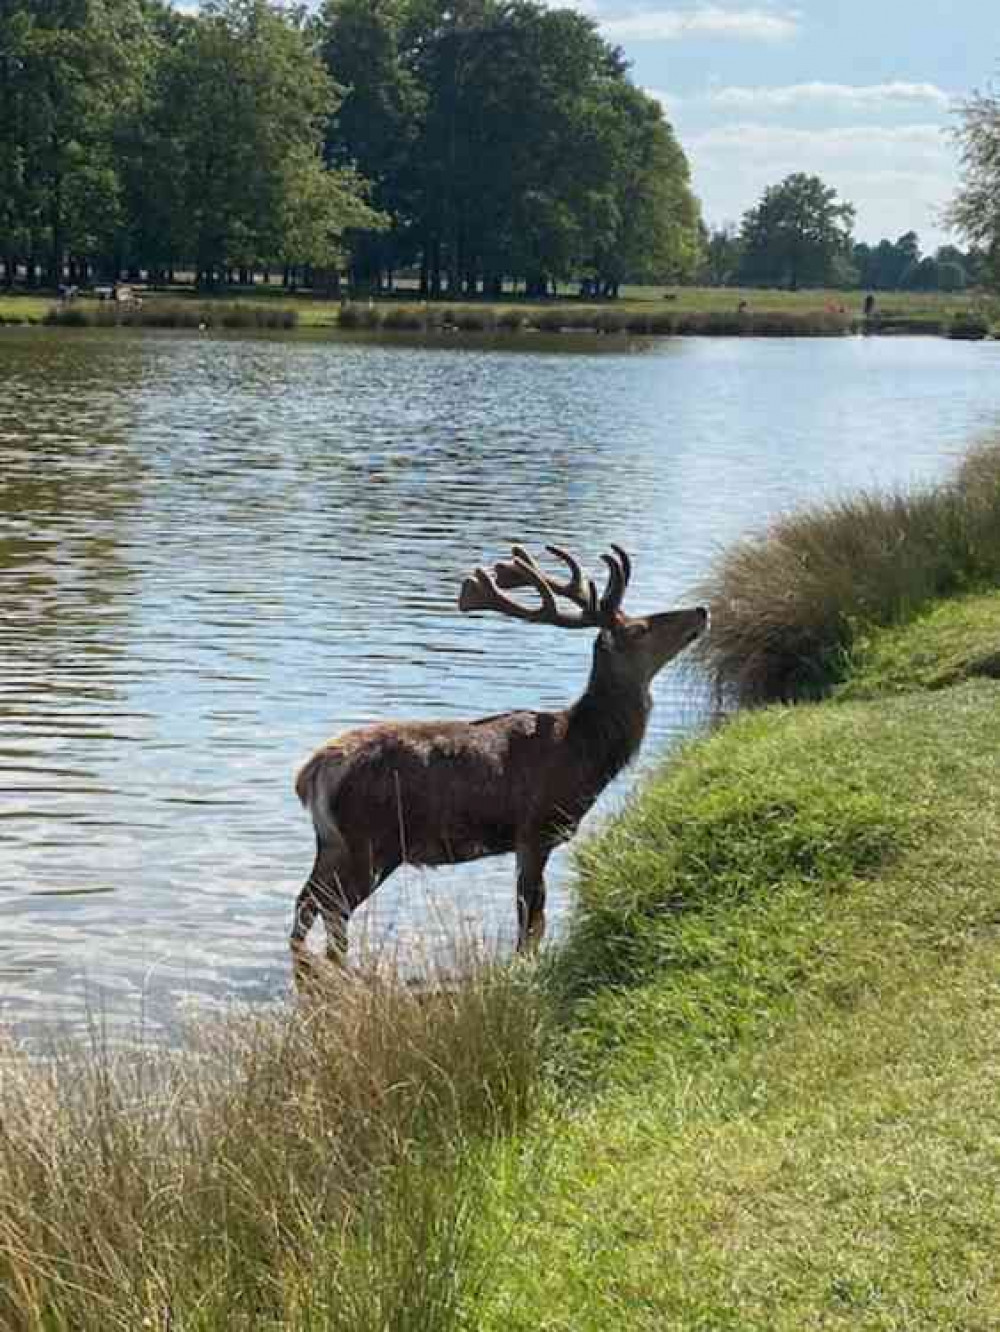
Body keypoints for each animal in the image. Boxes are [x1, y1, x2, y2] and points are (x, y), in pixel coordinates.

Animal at [292, 535, 708, 985]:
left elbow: (533, 916)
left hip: (332, 841)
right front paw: (525, 969)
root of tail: (313, 771)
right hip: (373, 840)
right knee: (334, 908)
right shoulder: (535, 829)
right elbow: (531, 917)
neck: (584, 752)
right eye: (640, 628)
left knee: (307, 902)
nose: (701, 610)